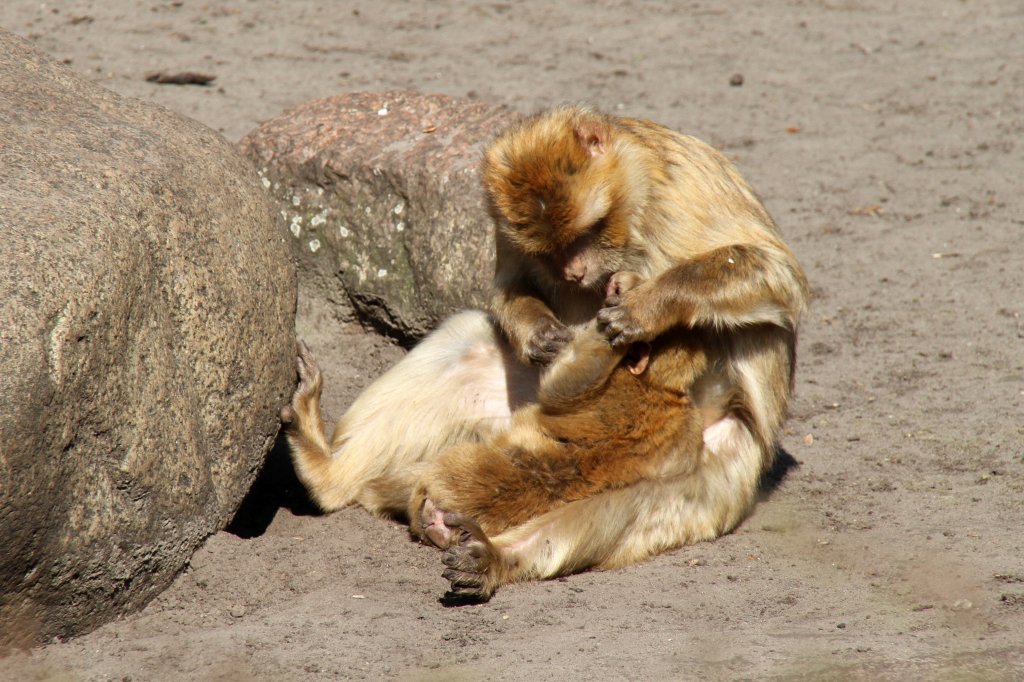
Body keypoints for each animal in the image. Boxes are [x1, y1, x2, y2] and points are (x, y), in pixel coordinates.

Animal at [280, 103, 806, 598]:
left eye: (589, 232)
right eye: (553, 249)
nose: (575, 272)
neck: (634, 190)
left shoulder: (683, 185)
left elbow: (777, 277)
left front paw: (645, 305)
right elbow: (509, 284)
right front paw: (540, 332)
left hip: (720, 464)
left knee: (628, 505)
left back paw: (493, 559)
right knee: (468, 341)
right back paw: (330, 473)